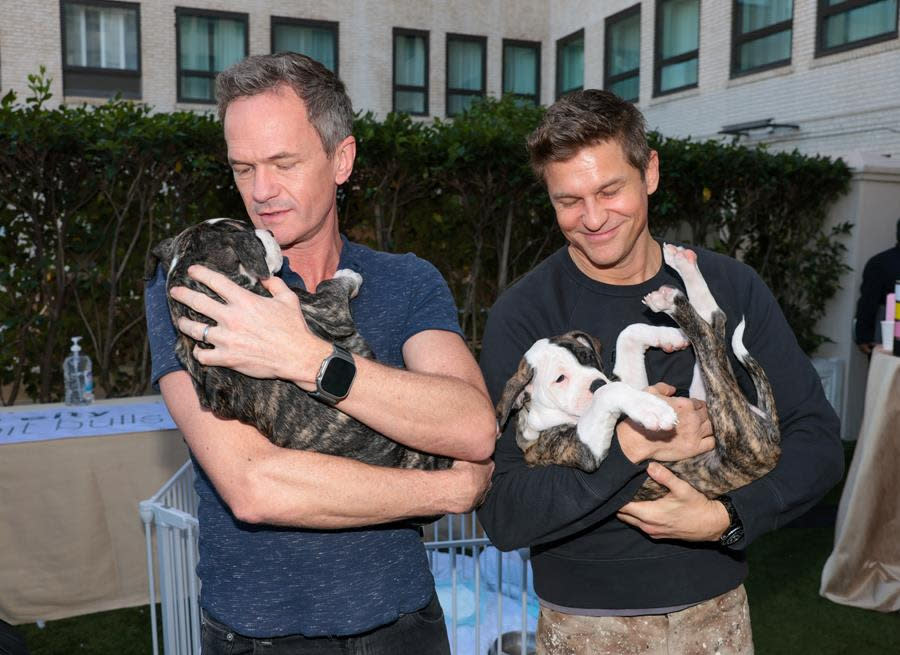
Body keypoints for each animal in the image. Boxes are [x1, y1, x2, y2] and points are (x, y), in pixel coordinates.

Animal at [500, 246, 780, 502]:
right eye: (559, 379)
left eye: (587, 358)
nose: (597, 382)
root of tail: (772, 435)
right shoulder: (585, 450)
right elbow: (609, 392)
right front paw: (652, 410)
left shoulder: (635, 381)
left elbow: (629, 333)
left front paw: (669, 338)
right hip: (734, 428)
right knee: (709, 340)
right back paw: (671, 301)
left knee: (713, 323)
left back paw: (682, 273)